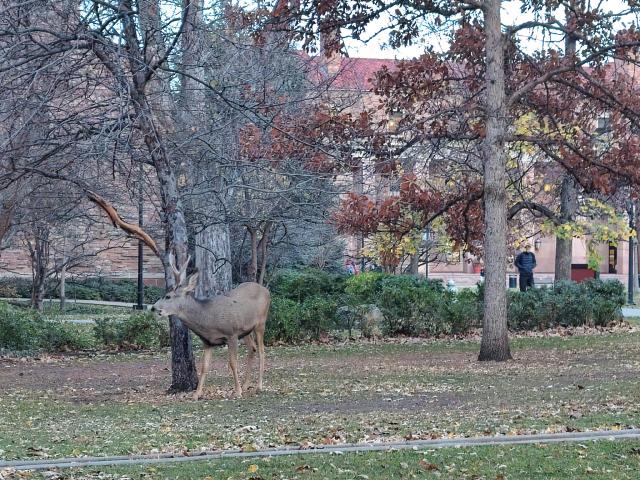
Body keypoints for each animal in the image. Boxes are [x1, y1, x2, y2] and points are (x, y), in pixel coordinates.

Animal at [151, 255, 270, 400]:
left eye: (168, 296)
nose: (153, 307)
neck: (208, 320)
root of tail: (266, 290)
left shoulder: (232, 333)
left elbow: (233, 362)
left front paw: (237, 391)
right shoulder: (208, 341)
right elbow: (204, 366)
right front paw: (196, 394)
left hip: (261, 322)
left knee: (262, 351)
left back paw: (259, 386)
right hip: (246, 330)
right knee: (252, 348)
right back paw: (246, 385)